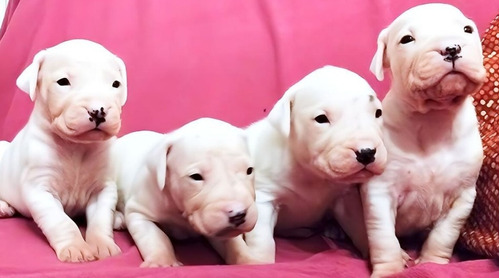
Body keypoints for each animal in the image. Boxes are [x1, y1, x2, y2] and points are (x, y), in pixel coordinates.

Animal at [0, 39, 129, 262]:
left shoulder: (103, 189)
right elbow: (61, 222)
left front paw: (103, 245)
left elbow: (101, 219)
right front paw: (76, 247)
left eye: (115, 84)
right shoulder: (40, 190)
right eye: (63, 82)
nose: (98, 111)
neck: (76, 147)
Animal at [109, 118, 258, 268]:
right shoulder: (139, 212)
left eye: (249, 170)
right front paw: (163, 261)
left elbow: (233, 243)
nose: (239, 214)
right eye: (196, 176)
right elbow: (156, 237)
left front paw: (247, 259)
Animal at [362, 3, 486, 276]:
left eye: (467, 29)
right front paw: (390, 269)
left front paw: (433, 263)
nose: (452, 48)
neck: (433, 116)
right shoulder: (380, 191)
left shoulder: (462, 196)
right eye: (407, 40)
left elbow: (444, 234)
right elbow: (383, 236)